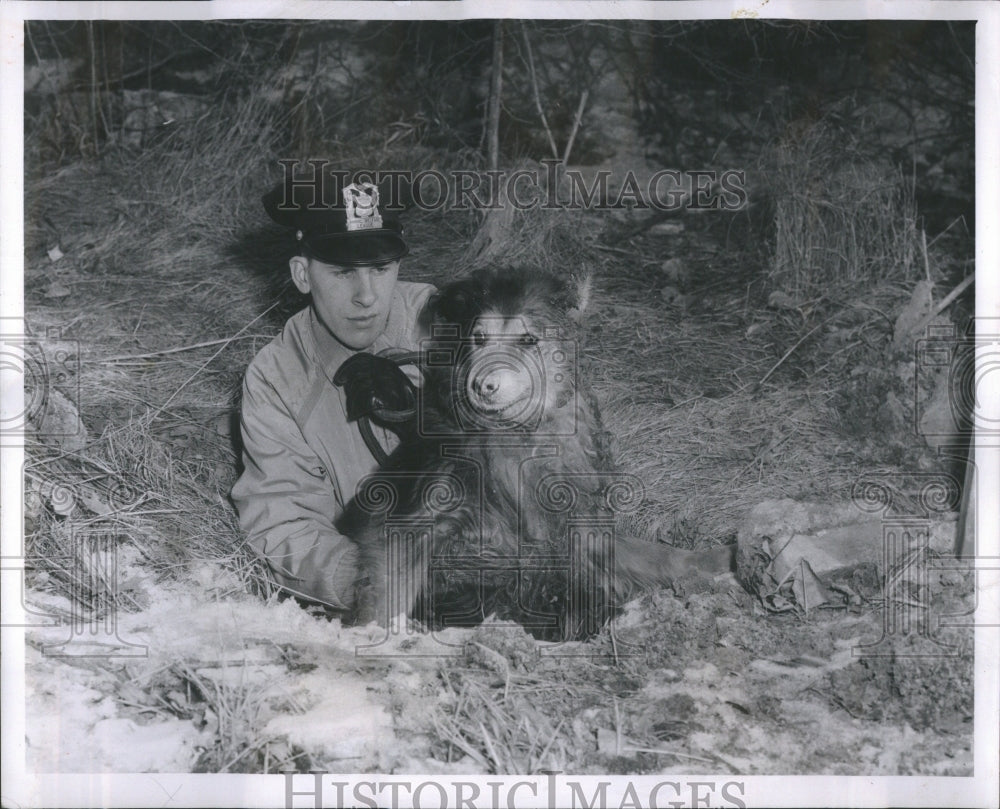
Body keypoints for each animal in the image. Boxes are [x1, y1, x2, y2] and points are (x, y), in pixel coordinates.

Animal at [336, 268, 736, 640]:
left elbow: (654, 553)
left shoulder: (582, 526)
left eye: (528, 339)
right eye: (479, 338)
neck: (518, 437)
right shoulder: (418, 524)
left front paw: (719, 558)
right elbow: (391, 587)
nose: (482, 385)